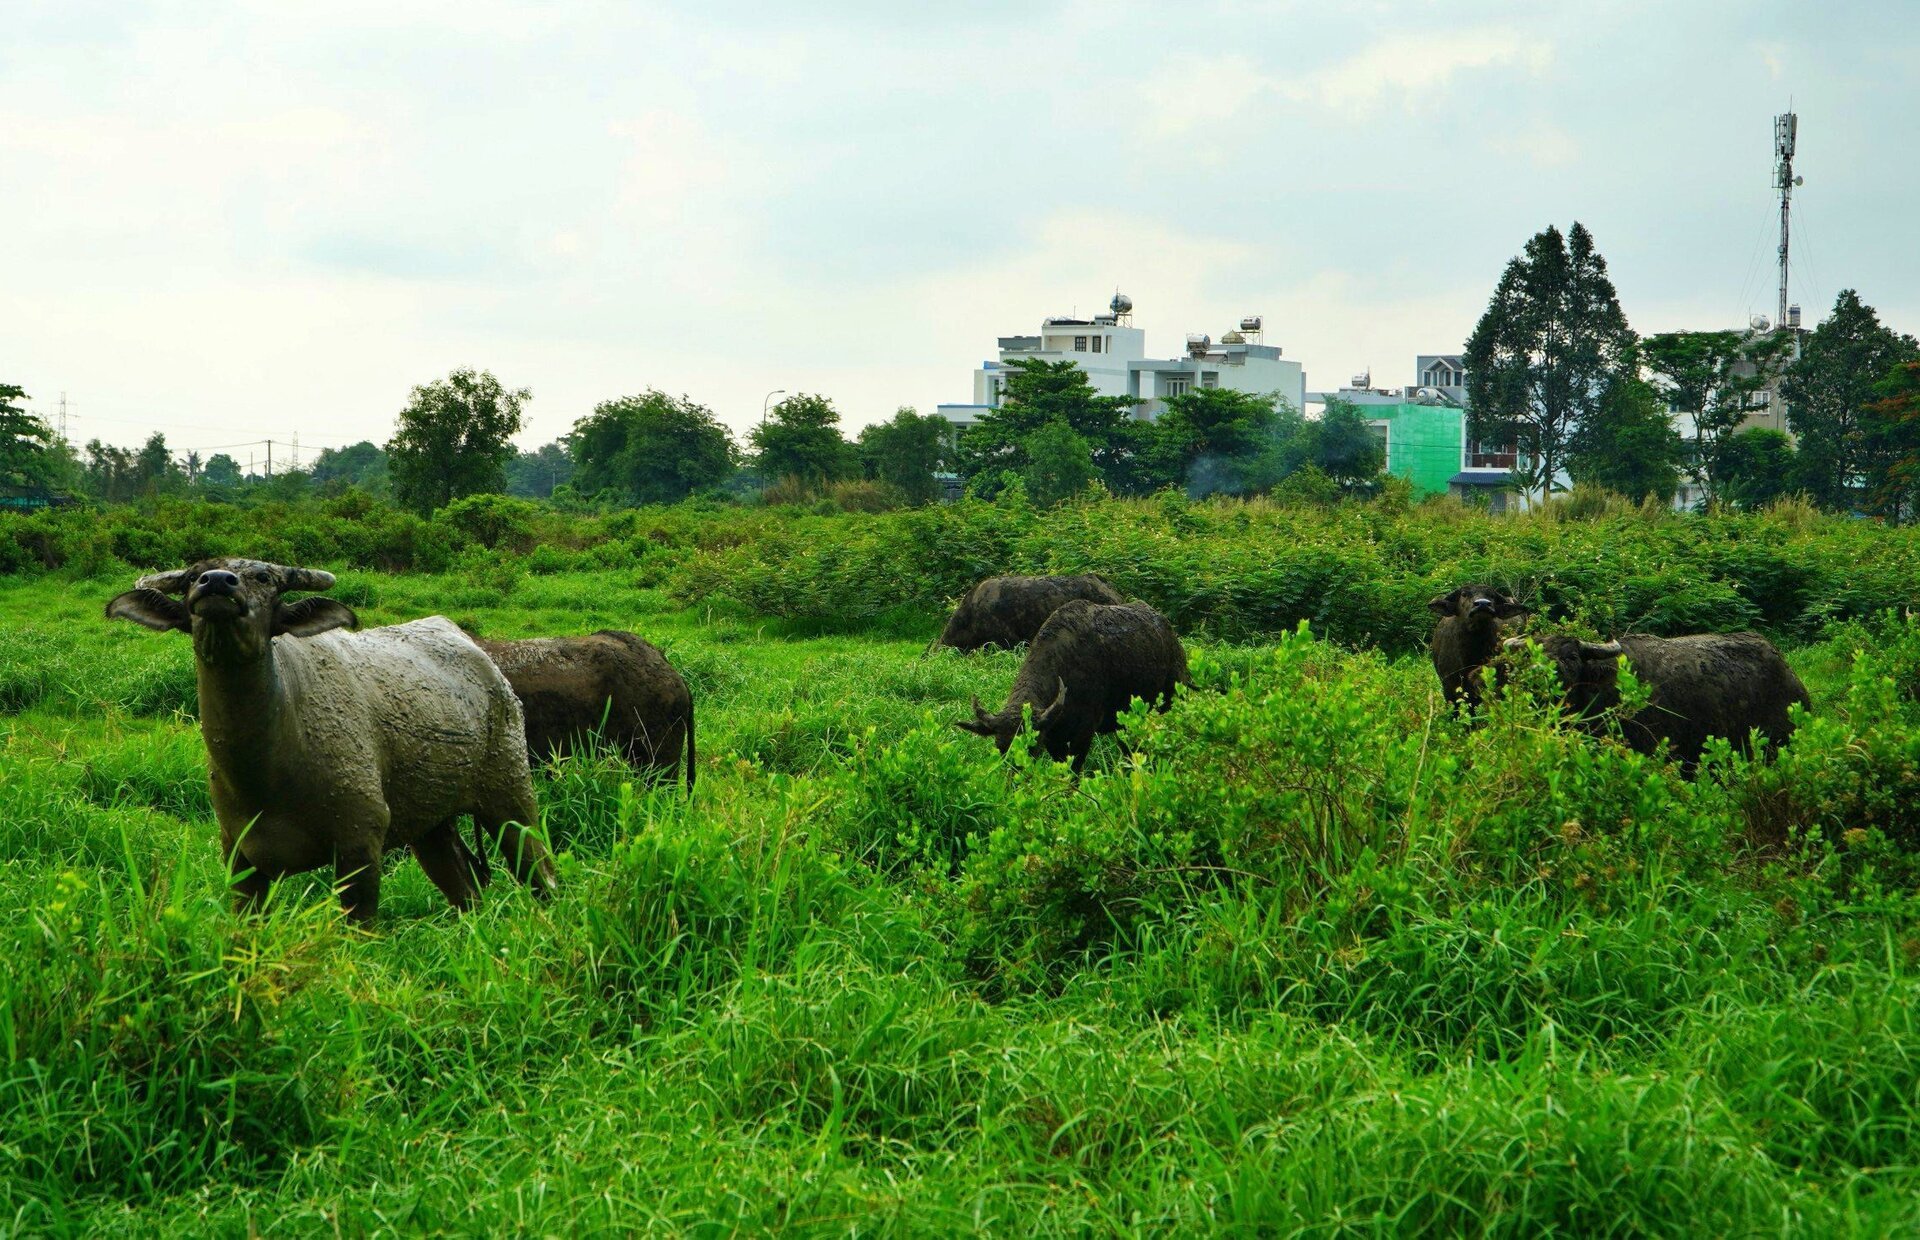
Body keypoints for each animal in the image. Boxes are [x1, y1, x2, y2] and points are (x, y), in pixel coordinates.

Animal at [107, 560, 556, 917]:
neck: (267, 768)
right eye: (193, 577)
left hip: (511, 796)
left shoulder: (360, 848)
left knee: (541, 874)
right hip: (432, 825)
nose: (217, 582)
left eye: (263, 577)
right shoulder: (241, 862)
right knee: (465, 889)